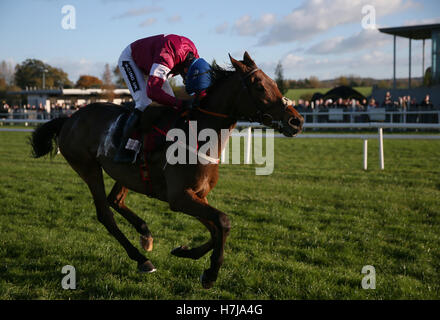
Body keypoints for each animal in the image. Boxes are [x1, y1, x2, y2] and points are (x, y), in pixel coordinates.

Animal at [30, 51, 302, 288]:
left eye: (272, 82)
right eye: (259, 85)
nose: (296, 120)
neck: (199, 132)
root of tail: (70, 118)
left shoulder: (197, 195)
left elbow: (216, 229)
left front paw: (184, 252)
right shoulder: (179, 197)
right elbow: (223, 222)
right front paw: (211, 274)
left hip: (124, 174)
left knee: (115, 199)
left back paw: (145, 234)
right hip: (88, 168)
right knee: (105, 213)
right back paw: (142, 259)